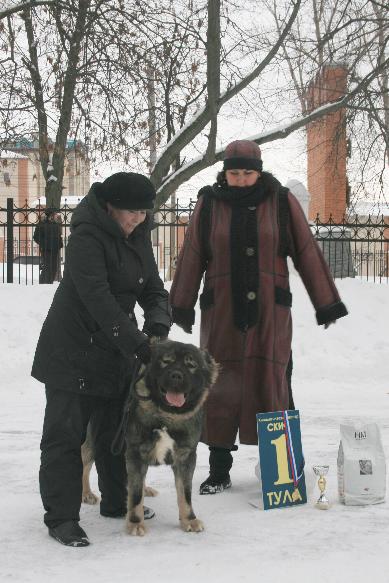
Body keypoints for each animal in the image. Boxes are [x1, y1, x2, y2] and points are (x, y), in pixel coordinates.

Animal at [81, 338, 218, 540]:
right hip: (97, 438)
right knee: (85, 463)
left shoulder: (185, 457)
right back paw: (86, 494)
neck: (166, 416)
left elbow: (185, 494)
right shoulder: (136, 452)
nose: (176, 375)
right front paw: (135, 523)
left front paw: (189, 520)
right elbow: (136, 495)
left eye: (191, 365)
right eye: (166, 361)